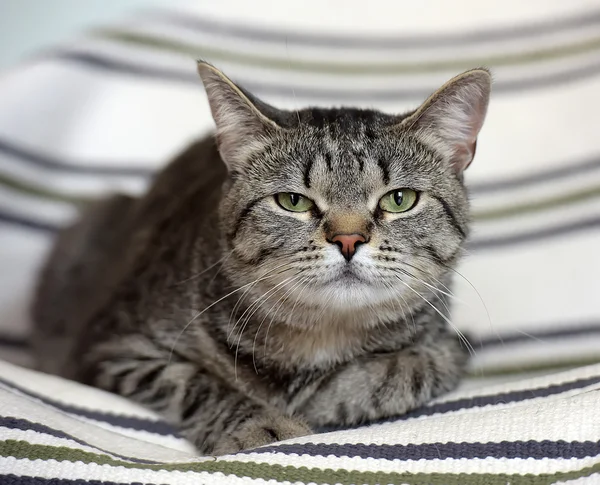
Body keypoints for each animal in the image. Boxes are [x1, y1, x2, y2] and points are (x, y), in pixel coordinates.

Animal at [30, 60, 490, 454]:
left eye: (399, 199)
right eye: (293, 201)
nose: (348, 239)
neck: (320, 338)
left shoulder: (448, 345)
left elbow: (408, 369)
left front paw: (326, 396)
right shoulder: (110, 347)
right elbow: (193, 381)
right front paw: (262, 422)